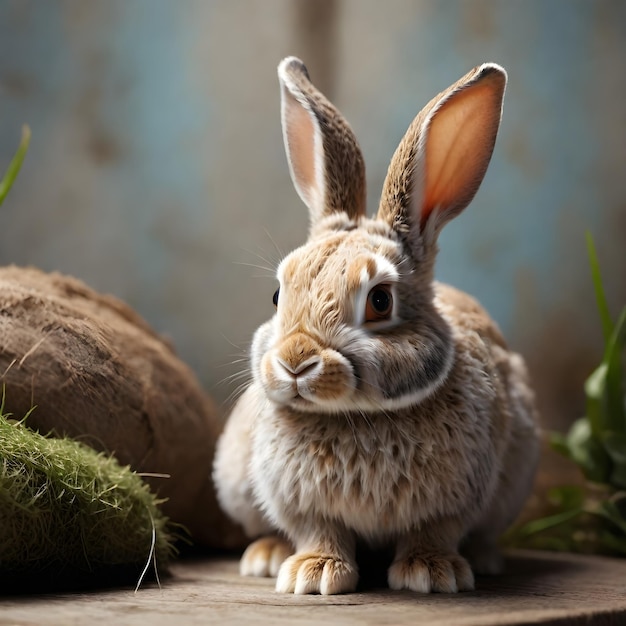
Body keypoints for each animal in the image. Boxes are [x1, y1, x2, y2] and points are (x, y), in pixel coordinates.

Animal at [213, 56, 536, 592]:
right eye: (278, 296)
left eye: (380, 301)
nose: (295, 361)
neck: (354, 415)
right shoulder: (299, 503)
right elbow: (318, 530)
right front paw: (313, 575)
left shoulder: (455, 500)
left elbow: (434, 530)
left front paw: (432, 573)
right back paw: (267, 556)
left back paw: (484, 559)